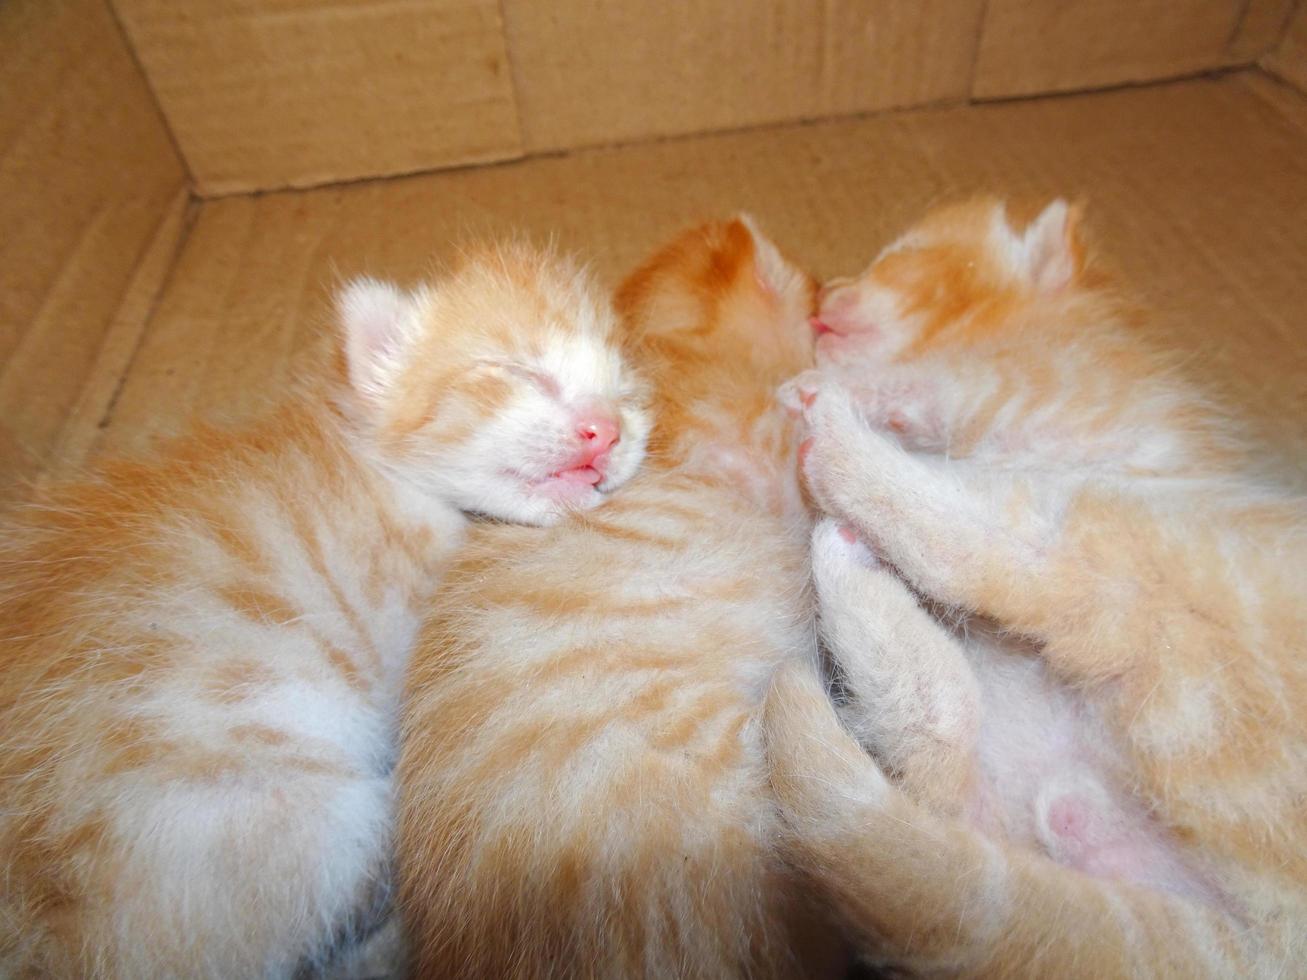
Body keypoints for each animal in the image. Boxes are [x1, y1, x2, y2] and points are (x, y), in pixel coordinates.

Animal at [763, 195, 1307, 977]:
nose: (826, 295)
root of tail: (1272, 937)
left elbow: (941, 382)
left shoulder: (1036, 384)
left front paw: (831, 389)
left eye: (895, 260)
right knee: (949, 798)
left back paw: (838, 447)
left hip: (1154, 552)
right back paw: (856, 566)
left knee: (1006, 550)